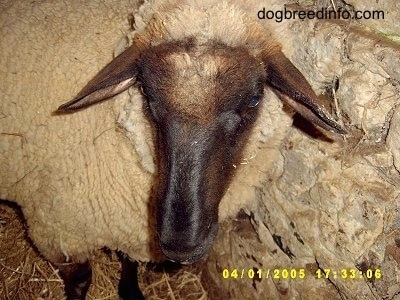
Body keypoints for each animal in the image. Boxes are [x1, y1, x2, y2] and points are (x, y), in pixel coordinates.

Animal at [0, 0, 346, 298]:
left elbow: (129, 261)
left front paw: (131, 291)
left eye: (253, 99)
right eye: (145, 92)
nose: (180, 245)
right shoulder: (56, 231)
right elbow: (81, 279)